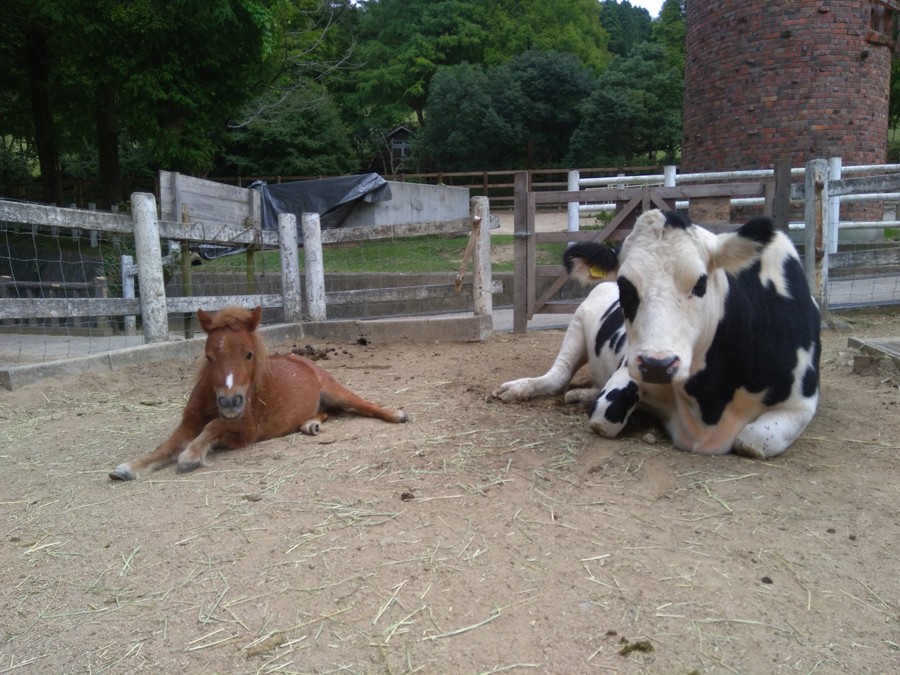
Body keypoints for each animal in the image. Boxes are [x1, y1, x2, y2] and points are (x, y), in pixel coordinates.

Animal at [109, 306, 408, 480]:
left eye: (249, 354)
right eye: (209, 356)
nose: (230, 402)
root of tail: (301, 359)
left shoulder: (247, 429)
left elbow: (213, 426)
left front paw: (190, 457)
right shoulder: (188, 424)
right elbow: (166, 446)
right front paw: (129, 468)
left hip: (335, 390)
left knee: (364, 405)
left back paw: (397, 414)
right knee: (325, 413)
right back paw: (310, 425)